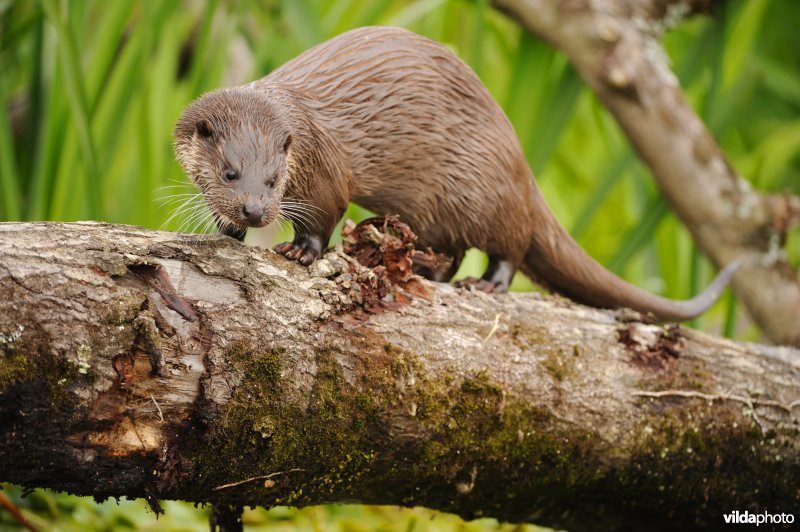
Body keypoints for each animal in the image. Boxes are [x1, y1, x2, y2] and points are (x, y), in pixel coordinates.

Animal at [174, 26, 738, 321]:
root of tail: (519, 161)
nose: (255, 209)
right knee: (453, 249)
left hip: (484, 191)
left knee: (511, 244)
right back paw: (429, 272)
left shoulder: (322, 170)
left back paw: (487, 285)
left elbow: (325, 214)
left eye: (273, 179)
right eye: (230, 173)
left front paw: (300, 252)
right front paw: (228, 230)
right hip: (436, 210)